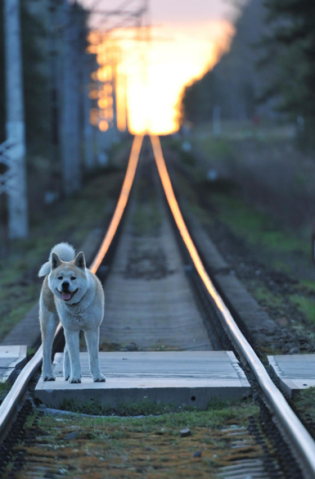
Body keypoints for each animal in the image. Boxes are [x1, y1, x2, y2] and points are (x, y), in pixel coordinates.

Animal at [38, 242, 105, 384]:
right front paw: (75, 378)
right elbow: (75, 357)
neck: (77, 305)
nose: (65, 284)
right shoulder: (71, 330)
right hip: (50, 324)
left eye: (73, 278)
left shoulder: (91, 330)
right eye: (60, 278)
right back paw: (48, 375)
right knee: (47, 351)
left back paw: (67, 374)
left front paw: (97, 376)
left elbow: (93, 357)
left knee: (65, 351)